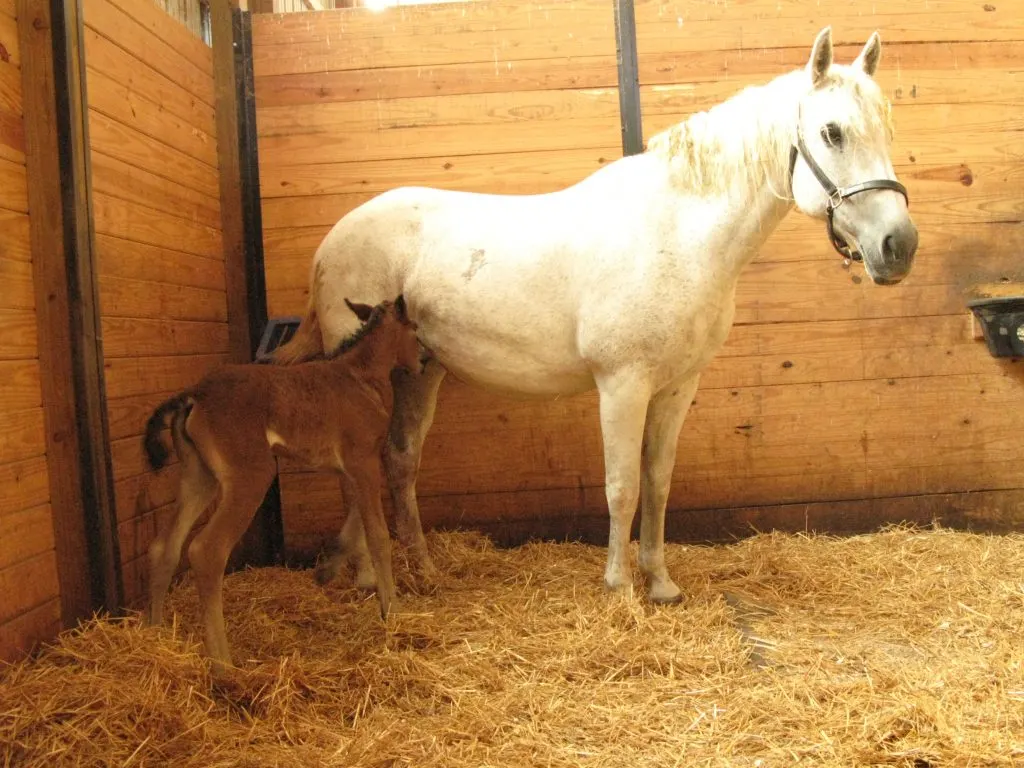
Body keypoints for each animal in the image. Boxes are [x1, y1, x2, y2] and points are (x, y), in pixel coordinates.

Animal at [142, 296, 421, 671]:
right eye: (415, 330)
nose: (421, 361)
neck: (360, 377)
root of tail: (196, 394)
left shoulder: (347, 468)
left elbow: (355, 519)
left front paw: (328, 569)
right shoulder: (363, 461)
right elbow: (377, 534)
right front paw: (391, 607)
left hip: (199, 476)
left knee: (164, 547)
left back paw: (156, 634)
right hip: (251, 475)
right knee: (206, 550)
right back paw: (223, 663)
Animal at [276, 28, 917, 606]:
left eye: (887, 129)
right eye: (832, 132)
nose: (898, 246)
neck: (677, 234)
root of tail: (331, 245)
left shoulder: (678, 387)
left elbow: (657, 482)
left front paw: (660, 583)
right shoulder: (622, 385)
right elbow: (622, 486)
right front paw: (620, 589)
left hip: (420, 373)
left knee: (399, 461)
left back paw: (424, 573)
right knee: (358, 467)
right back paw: (365, 576)